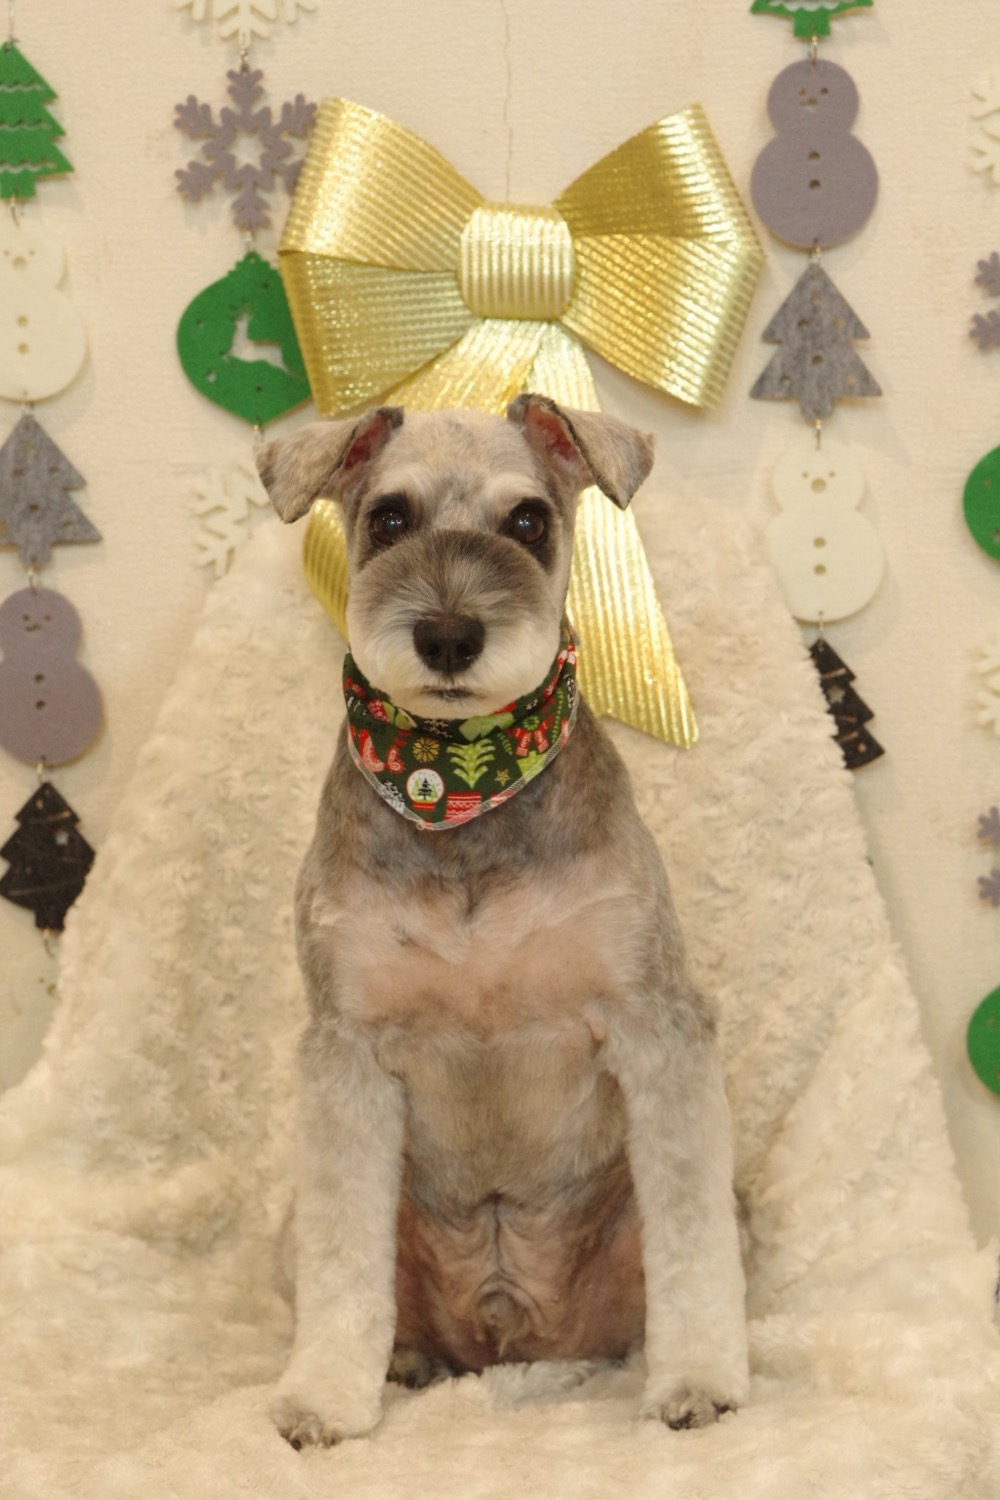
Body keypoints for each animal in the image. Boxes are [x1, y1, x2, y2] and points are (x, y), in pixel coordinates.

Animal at [255, 394, 748, 1449]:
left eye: (527, 521)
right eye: (387, 519)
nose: (448, 634)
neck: (462, 785)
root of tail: (510, 1334)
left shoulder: (657, 1026)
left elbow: (692, 1242)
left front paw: (697, 1383)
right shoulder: (346, 1051)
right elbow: (343, 1260)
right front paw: (323, 1399)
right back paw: (401, 1360)